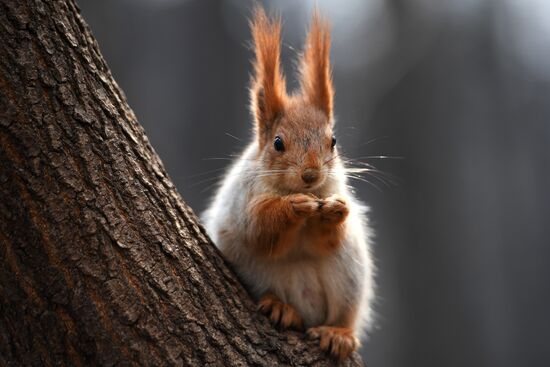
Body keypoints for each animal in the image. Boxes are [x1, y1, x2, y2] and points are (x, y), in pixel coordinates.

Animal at [205, 6, 378, 362]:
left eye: (333, 142)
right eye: (278, 143)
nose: (310, 175)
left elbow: (326, 238)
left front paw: (336, 209)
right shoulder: (244, 202)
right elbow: (260, 228)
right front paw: (294, 207)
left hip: (350, 277)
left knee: (344, 315)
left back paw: (338, 333)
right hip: (260, 275)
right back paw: (281, 308)